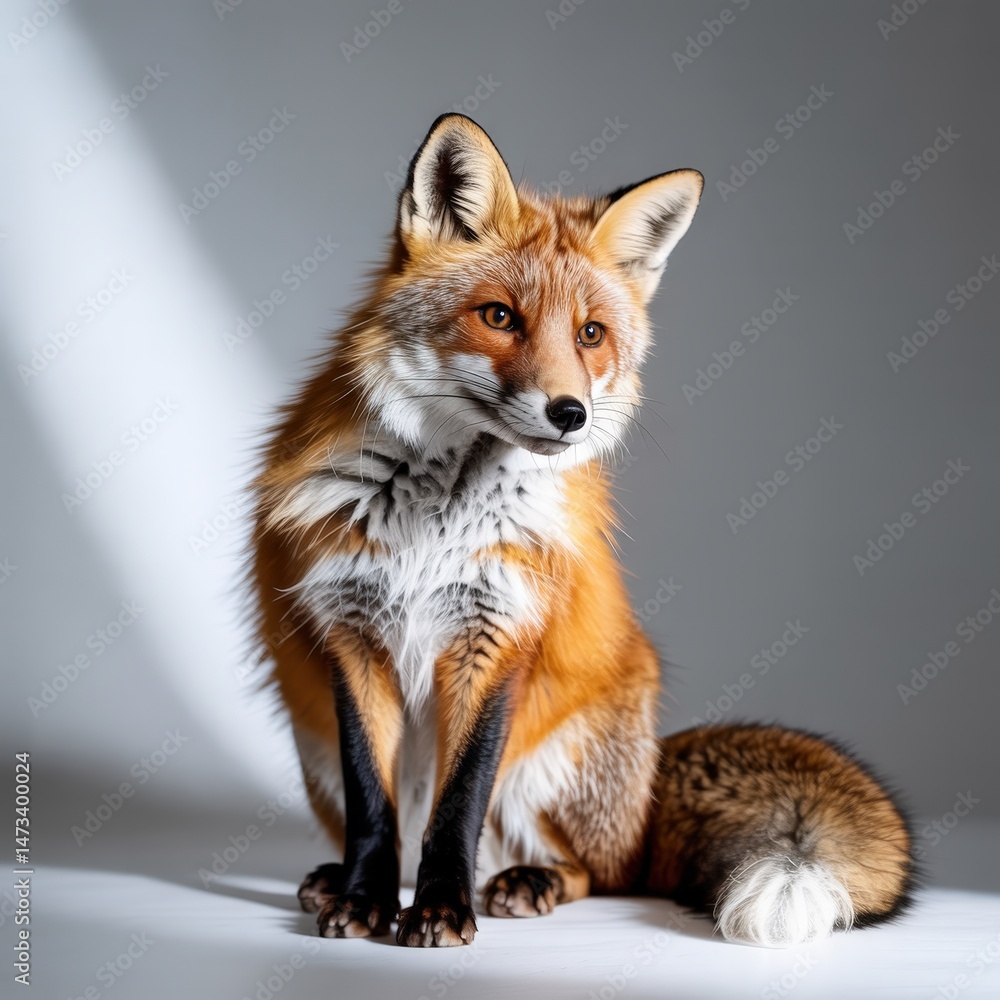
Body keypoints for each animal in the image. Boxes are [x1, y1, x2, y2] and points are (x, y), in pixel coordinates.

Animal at [248, 113, 914, 948]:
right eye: (499, 316)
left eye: (591, 334)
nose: (571, 414)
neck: (440, 514)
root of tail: (651, 781)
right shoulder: (352, 631)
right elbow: (377, 805)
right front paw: (366, 900)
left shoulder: (499, 633)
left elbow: (458, 805)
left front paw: (440, 909)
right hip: (313, 751)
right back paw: (340, 879)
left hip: (551, 770)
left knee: (597, 871)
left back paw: (523, 883)